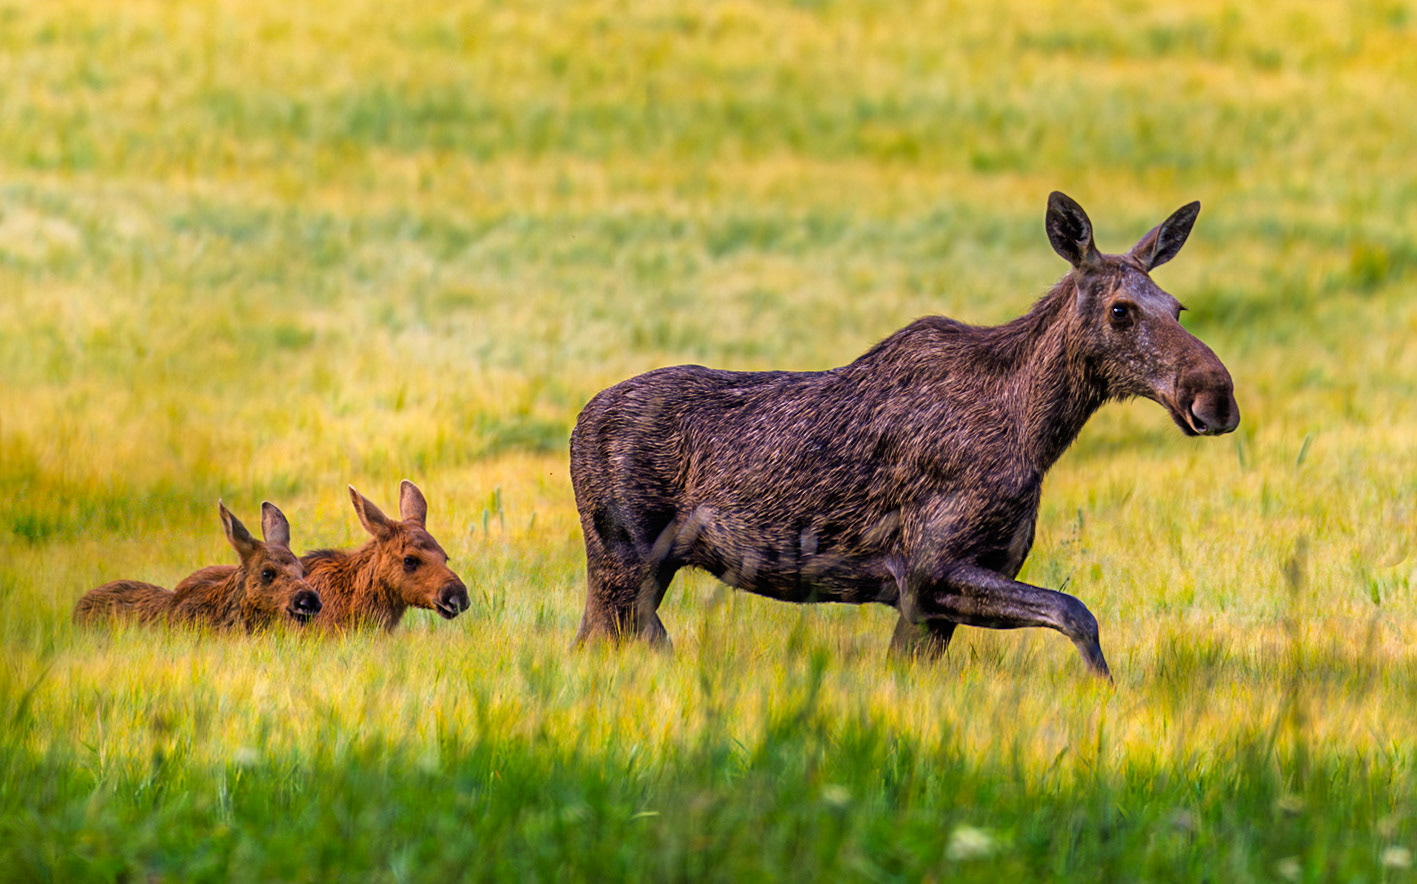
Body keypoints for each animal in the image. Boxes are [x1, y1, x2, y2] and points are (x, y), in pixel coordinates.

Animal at [568, 192, 1239, 678]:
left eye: (1178, 307)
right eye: (1121, 310)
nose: (1217, 398)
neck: (1037, 433)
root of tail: (578, 423)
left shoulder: (938, 598)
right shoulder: (927, 571)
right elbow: (1078, 614)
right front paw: (1104, 690)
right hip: (625, 560)